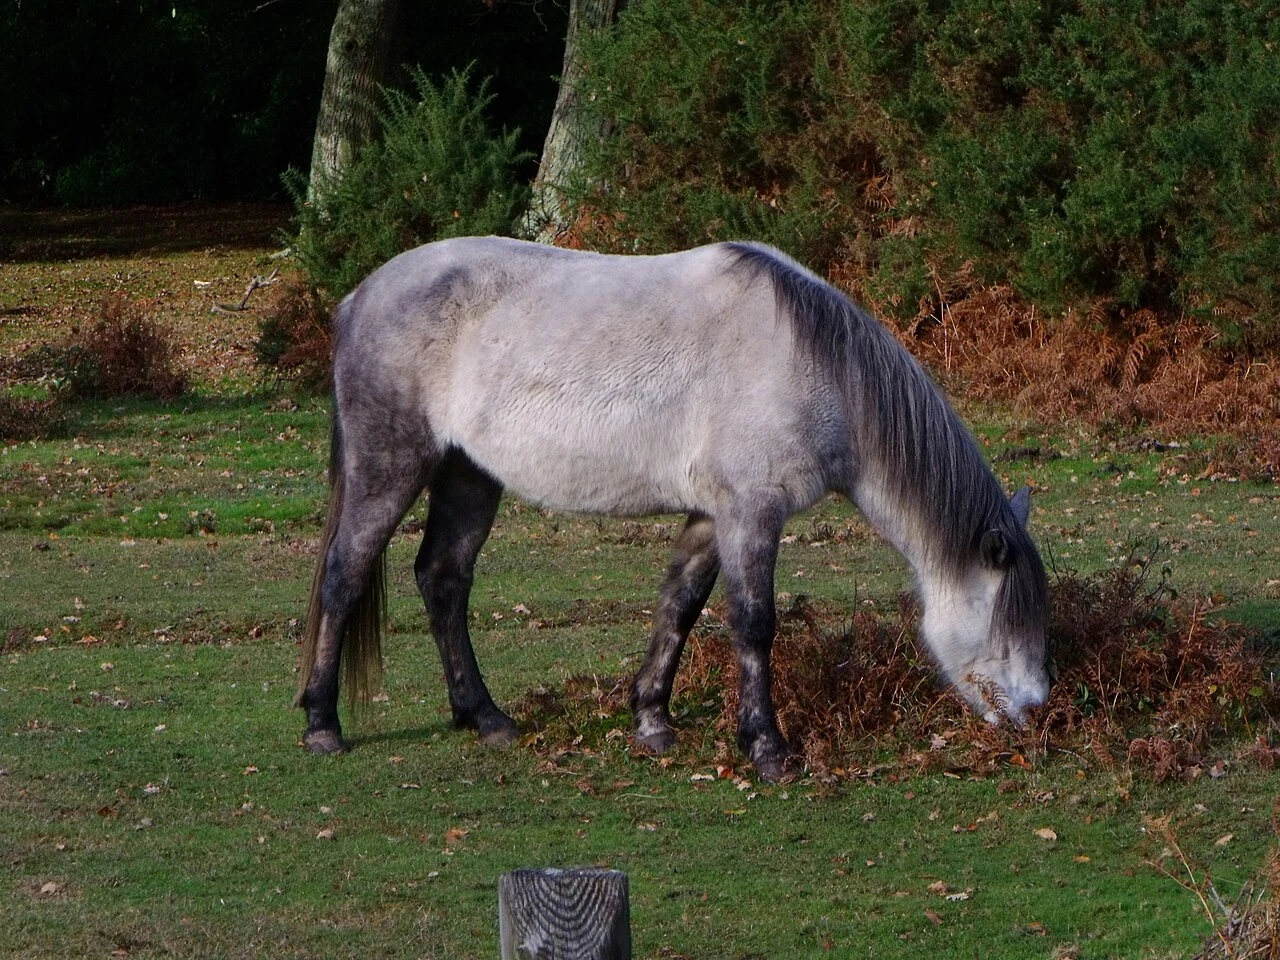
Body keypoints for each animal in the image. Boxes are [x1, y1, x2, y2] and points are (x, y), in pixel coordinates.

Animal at [295, 237, 1050, 782]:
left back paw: (485, 718)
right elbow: (754, 625)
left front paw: (652, 721)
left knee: (443, 579)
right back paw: (322, 725)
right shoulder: (751, 513)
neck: (817, 367)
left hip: (469, 474)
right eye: (1006, 622)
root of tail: (360, 296)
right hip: (389, 467)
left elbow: (679, 608)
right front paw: (768, 749)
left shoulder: (714, 516)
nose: (1038, 714)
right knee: (344, 575)